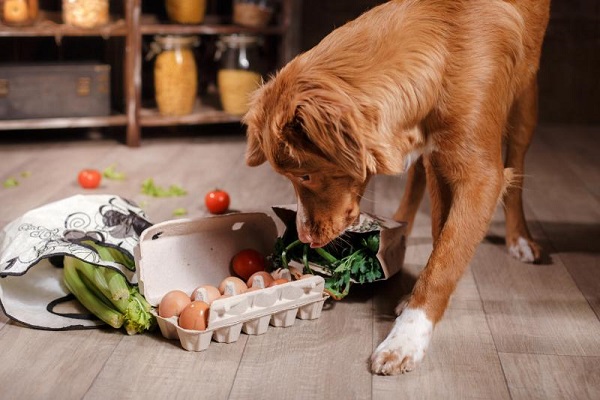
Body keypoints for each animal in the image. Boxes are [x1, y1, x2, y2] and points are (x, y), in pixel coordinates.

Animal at [243, 0, 548, 376]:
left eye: (305, 177)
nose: (305, 239)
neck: (445, 45)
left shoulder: (481, 177)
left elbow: (444, 260)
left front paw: (406, 338)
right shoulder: (439, 158)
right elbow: (440, 236)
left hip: (525, 100)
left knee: (517, 164)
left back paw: (519, 239)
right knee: (418, 173)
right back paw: (401, 224)